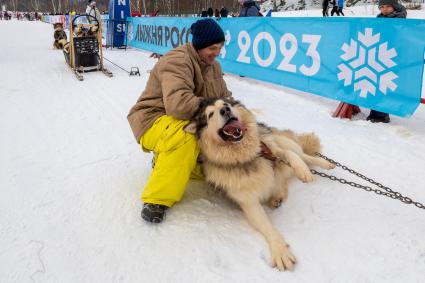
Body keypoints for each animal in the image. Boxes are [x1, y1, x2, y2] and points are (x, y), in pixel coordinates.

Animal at [186, 98, 334, 272]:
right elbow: (267, 227)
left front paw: (303, 171)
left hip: (282, 141)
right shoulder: (248, 202)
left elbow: (289, 155)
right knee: (283, 180)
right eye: (210, 114)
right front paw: (280, 251)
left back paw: (325, 165)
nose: (225, 110)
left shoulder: (271, 151)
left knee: (303, 155)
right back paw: (277, 197)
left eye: (226, 103)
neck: (248, 156)